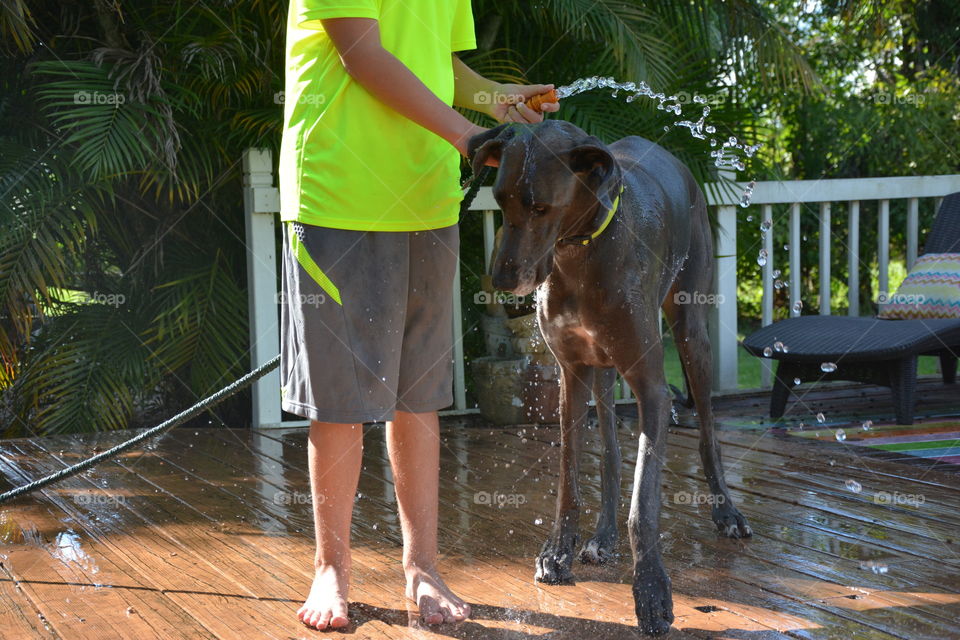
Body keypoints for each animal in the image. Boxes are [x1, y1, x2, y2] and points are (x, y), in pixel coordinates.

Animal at [468, 120, 752, 636]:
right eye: (499, 200)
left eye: (541, 207)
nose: (500, 281)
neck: (582, 249)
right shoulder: (571, 374)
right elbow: (569, 477)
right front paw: (557, 552)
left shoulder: (653, 389)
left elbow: (645, 504)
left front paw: (652, 591)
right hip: (601, 372)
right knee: (611, 453)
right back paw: (603, 535)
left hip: (691, 333)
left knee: (707, 432)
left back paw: (726, 510)